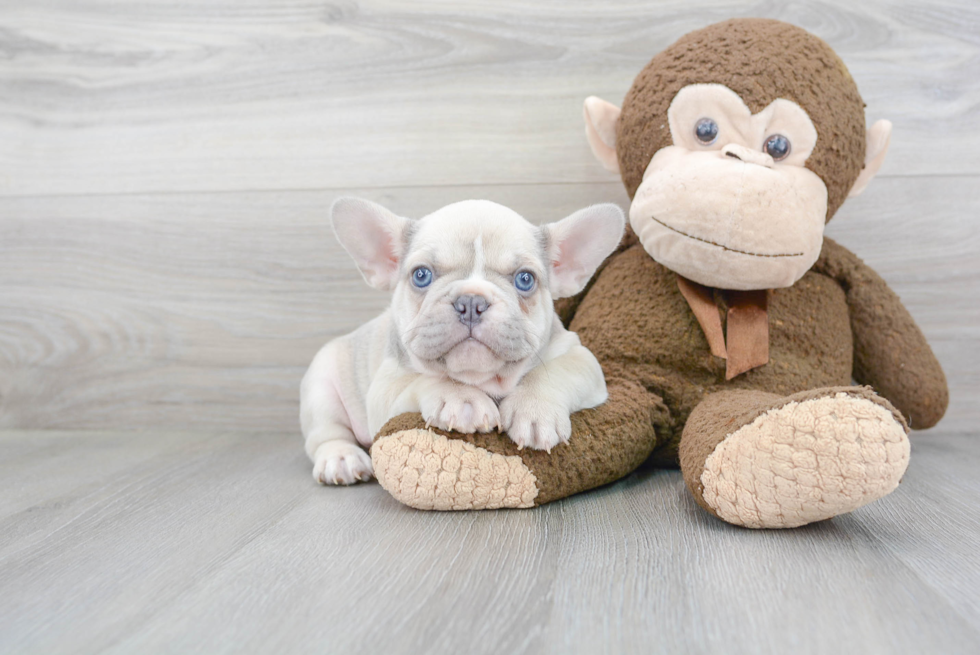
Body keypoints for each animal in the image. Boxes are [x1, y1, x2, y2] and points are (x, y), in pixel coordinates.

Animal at [298, 197, 624, 484]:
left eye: (525, 279)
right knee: (326, 435)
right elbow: (425, 379)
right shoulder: (385, 387)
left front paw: (534, 409)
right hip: (321, 387)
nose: (471, 301)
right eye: (421, 275)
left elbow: (554, 371)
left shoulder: (581, 358)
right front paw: (461, 398)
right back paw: (341, 459)